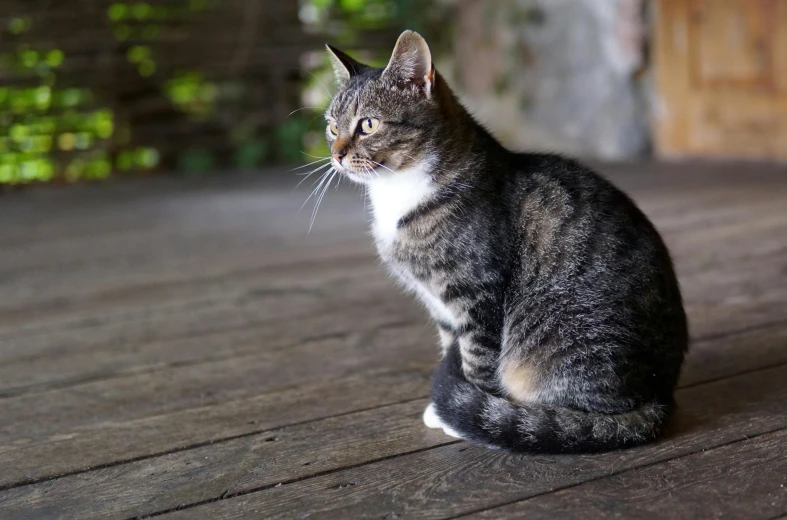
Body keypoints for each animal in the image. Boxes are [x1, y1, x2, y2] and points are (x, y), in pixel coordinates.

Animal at [324, 30, 688, 452]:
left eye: (368, 124)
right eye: (331, 126)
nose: (336, 154)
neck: (398, 194)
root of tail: (660, 398)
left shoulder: (476, 295)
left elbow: (476, 360)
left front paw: (464, 412)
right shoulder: (441, 308)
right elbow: (451, 347)